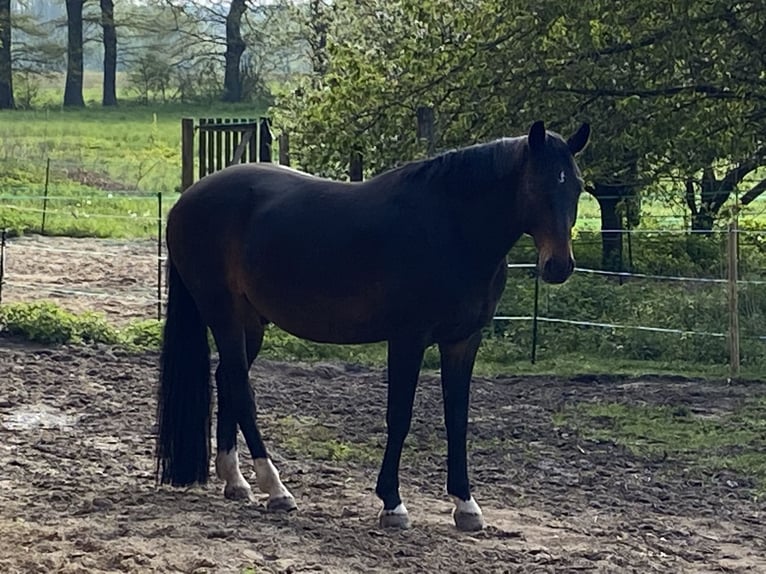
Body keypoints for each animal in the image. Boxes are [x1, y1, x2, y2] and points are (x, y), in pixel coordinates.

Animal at [154, 119, 588, 532]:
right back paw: (275, 488)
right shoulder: (408, 339)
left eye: (577, 186)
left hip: (251, 323)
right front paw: (393, 504)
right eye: (537, 184)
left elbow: (457, 419)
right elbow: (400, 416)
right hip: (223, 314)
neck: (451, 229)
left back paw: (236, 482)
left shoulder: (463, 341)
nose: (559, 266)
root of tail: (186, 201)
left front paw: (466, 506)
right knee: (242, 391)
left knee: (228, 379)